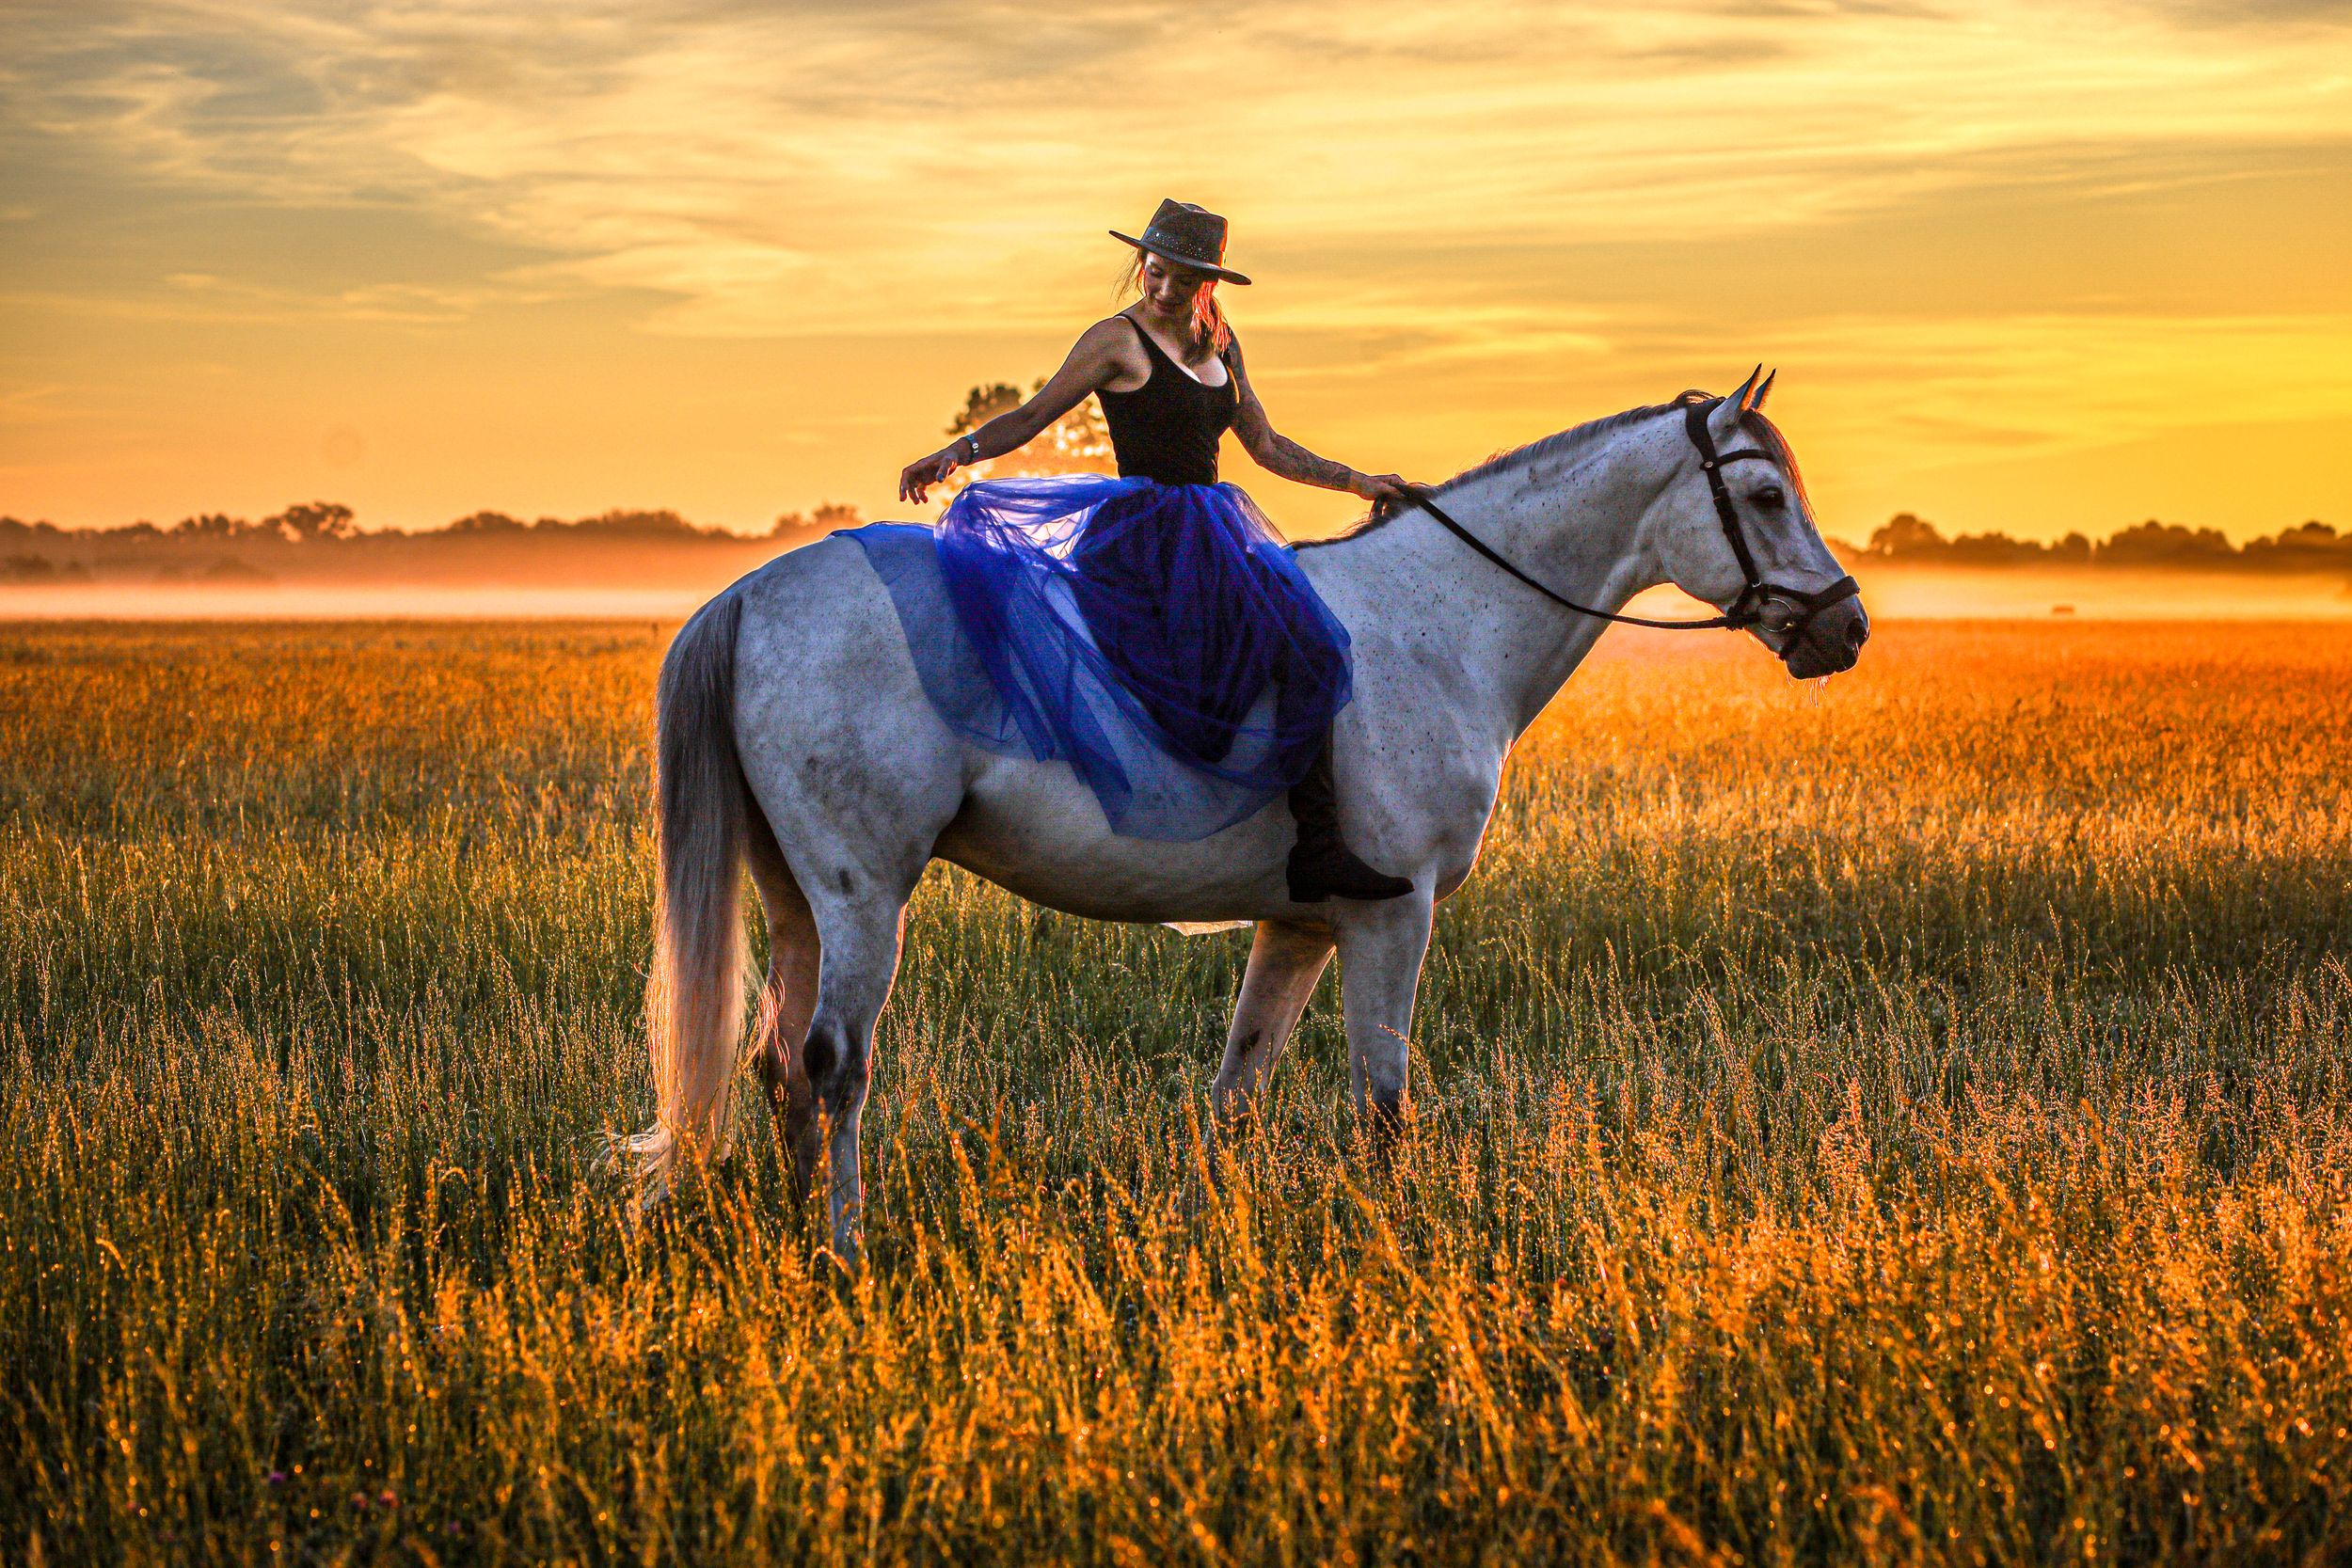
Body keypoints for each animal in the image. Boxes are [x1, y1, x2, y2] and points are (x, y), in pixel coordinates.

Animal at [615, 369, 1870, 1265]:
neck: (1443, 621)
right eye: (1765, 497)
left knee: (779, 1061)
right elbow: (1382, 1101)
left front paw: (1201, 1236)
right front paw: (1396, 1252)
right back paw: (843, 1248)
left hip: (795, 895)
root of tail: (752, 592)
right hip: (863, 895)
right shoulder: (1392, 915)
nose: (1844, 628)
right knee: (835, 1061)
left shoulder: (1302, 923)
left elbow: (1237, 1086)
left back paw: (794, 1241)